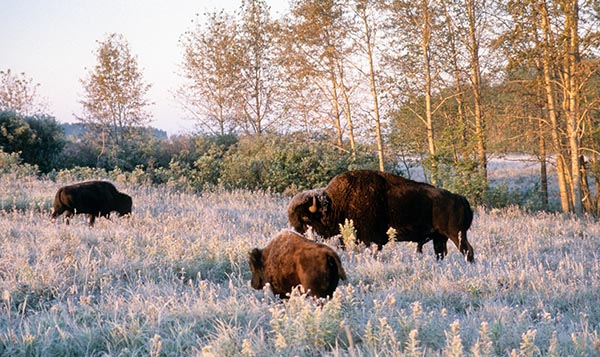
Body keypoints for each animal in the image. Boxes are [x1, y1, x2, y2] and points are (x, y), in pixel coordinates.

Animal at [288, 170, 476, 262]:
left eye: (305, 218)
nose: (298, 236)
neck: (335, 203)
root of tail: (460, 198)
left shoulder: (367, 239)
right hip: (440, 237)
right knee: (441, 253)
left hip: (456, 234)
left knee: (468, 250)